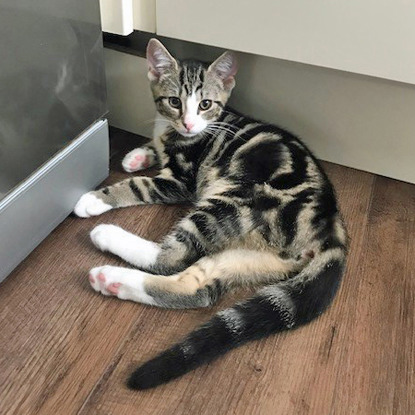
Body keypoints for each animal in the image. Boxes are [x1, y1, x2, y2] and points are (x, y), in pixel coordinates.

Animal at [74, 38, 348, 390]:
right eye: (174, 101)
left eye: (205, 104)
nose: (189, 124)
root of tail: (330, 220)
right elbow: (155, 146)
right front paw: (137, 155)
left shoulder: (180, 181)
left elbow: (138, 186)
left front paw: (97, 198)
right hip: (255, 257)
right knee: (198, 288)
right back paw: (112, 281)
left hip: (233, 200)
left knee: (172, 257)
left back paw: (107, 236)